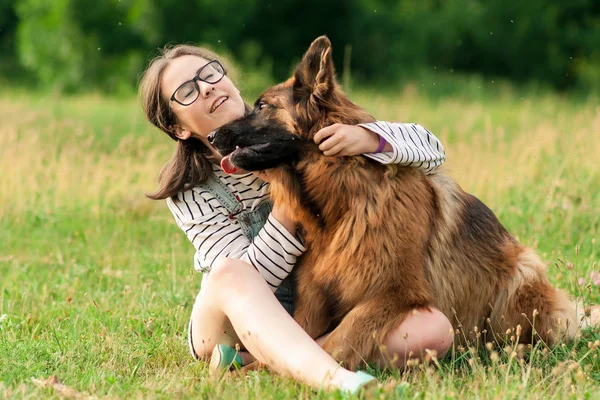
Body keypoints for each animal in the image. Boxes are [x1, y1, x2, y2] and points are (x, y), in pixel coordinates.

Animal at [210, 36, 576, 368]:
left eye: (262, 106)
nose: (212, 136)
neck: (344, 193)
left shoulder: (392, 293)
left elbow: (338, 340)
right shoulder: (315, 293)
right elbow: (295, 335)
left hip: (521, 274)